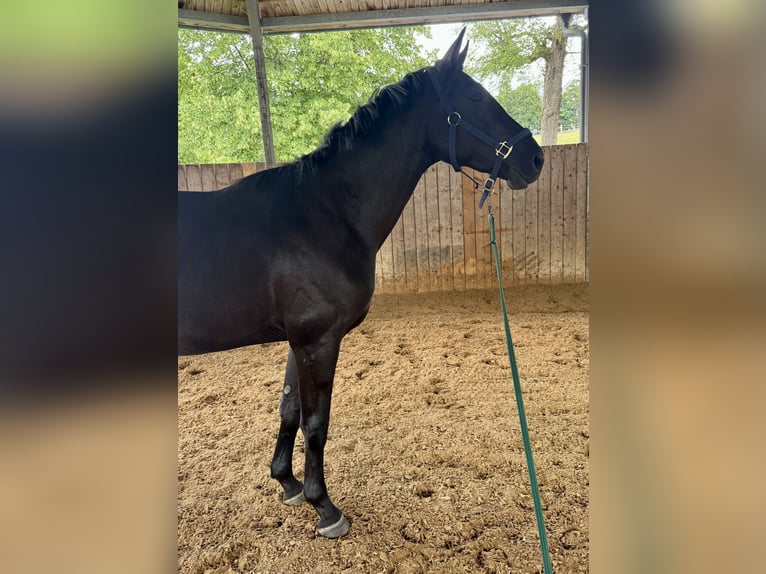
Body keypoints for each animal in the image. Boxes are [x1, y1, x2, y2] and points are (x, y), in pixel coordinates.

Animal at [178, 30, 544, 538]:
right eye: (475, 98)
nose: (536, 158)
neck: (323, 213)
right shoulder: (317, 340)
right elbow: (316, 424)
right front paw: (325, 508)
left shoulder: (298, 341)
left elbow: (289, 410)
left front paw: (288, 484)